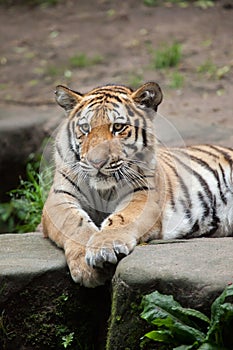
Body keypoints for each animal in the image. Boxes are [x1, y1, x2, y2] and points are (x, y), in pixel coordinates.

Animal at [41, 81, 233, 288]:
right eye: (85, 128)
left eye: (118, 127)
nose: (96, 163)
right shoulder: (58, 199)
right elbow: (75, 223)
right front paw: (86, 267)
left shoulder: (142, 196)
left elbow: (122, 218)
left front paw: (103, 248)